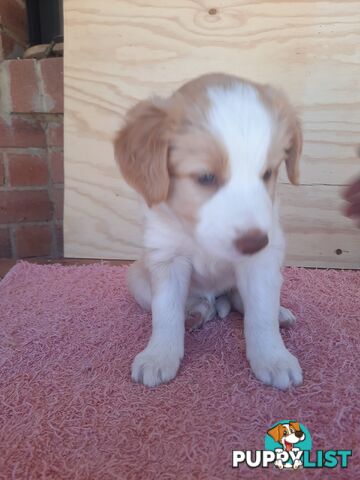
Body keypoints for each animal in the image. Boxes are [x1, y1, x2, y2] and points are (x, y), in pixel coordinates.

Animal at [114, 74, 302, 390]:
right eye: (205, 177)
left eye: (267, 174)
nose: (255, 243)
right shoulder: (166, 259)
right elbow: (166, 314)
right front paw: (159, 355)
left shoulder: (262, 261)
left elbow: (261, 313)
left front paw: (273, 357)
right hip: (137, 278)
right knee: (197, 304)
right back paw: (195, 314)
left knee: (241, 300)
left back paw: (279, 313)